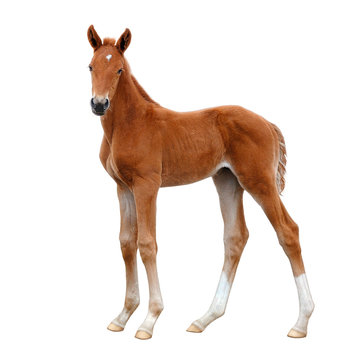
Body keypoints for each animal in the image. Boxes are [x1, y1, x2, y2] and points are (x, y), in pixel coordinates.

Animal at [88, 26, 316, 340]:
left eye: (119, 69)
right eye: (90, 67)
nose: (99, 104)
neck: (131, 124)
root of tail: (267, 124)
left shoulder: (147, 185)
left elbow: (146, 243)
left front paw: (149, 320)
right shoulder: (123, 187)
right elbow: (126, 243)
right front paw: (122, 316)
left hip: (259, 182)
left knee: (288, 231)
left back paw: (301, 322)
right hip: (228, 181)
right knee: (235, 237)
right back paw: (205, 318)